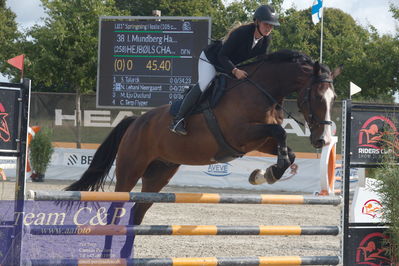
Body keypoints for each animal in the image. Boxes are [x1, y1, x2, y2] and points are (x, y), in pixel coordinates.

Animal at [65, 48, 344, 256]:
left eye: (333, 98)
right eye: (316, 97)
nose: (322, 139)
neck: (261, 90)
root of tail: (136, 121)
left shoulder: (258, 140)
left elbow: (286, 148)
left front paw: (264, 174)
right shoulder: (240, 134)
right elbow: (281, 133)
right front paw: (269, 173)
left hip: (159, 173)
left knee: (138, 212)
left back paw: (126, 255)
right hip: (130, 168)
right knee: (116, 210)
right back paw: (107, 255)